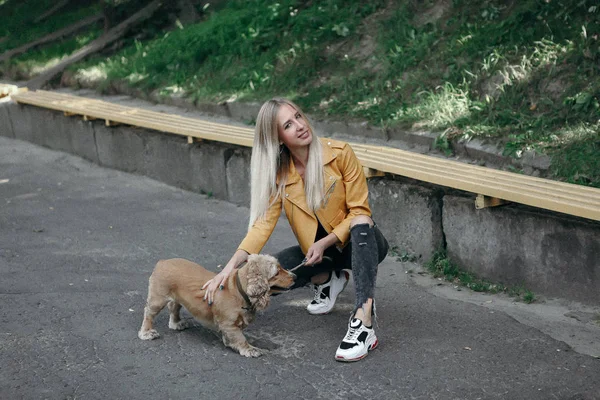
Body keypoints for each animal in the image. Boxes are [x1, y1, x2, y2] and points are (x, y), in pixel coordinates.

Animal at [137, 253, 296, 356]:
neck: (239, 290)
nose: (295, 276)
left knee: (174, 308)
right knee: (149, 314)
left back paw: (176, 323)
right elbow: (240, 338)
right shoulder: (228, 324)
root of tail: (162, 261)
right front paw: (250, 349)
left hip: (177, 298)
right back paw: (147, 332)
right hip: (158, 299)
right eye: (276, 272)